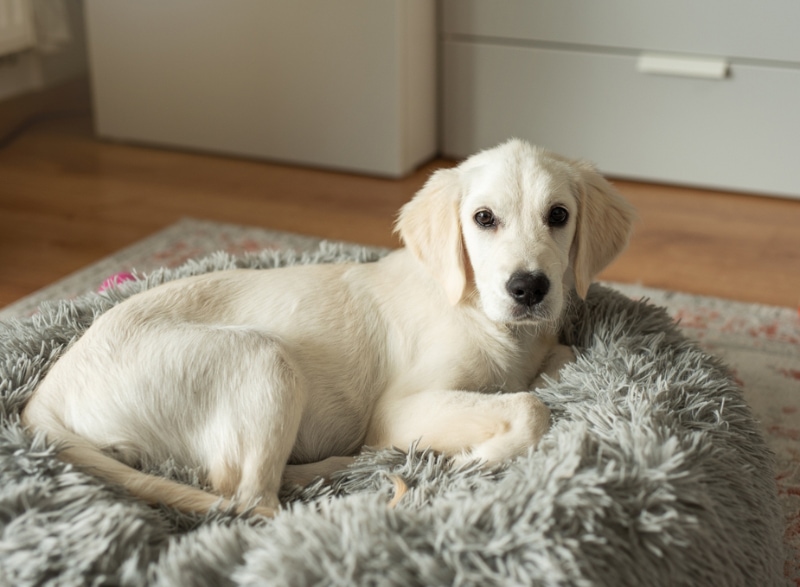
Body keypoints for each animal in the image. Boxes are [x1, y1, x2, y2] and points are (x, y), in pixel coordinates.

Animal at [21, 140, 636, 516]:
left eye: (558, 216)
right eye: (483, 219)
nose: (528, 288)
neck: (483, 315)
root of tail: (44, 398)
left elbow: (554, 368)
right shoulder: (399, 407)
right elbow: (530, 407)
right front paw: (477, 457)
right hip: (264, 359)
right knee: (249, 500)